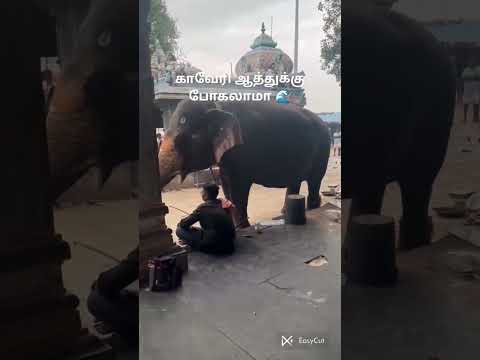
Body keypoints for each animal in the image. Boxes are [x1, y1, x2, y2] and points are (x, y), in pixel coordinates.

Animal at [159, 98, 332, 228]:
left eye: (191, 137)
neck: (216, 103)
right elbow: (226, 185)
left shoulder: (242, 151)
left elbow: (238, 188)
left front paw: (242, 227)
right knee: (295, 181)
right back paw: (285, 212)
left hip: (323, 149)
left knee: (315, 180)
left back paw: (313, 207)